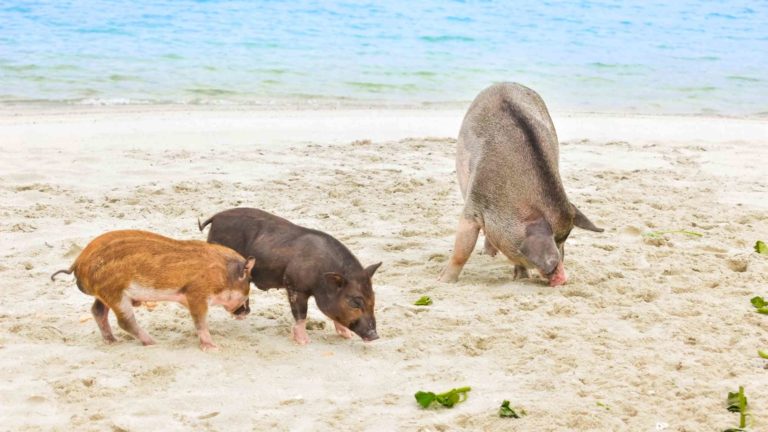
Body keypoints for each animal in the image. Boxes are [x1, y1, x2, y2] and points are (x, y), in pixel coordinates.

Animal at [50, 230, 255, 351]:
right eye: (249, 282)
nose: (247, 311)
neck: (222, 274)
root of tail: (78, 262)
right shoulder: (196, 293)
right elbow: (200, 322)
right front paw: (213, 348)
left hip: (104, 294)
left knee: (97, 311)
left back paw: (113, 342)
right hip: (115, 292)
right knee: (124, 321)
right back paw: (153, 343)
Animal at [198, 208, 381, 345]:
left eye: (373, 299)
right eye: (355, 302)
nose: (375, 336)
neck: (321, 274)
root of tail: (216, 216)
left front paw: (347, 336)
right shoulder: (295, 287)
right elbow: (300, 314)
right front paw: (304, 342)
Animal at [439, 83, 603, 286]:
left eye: (564, 240)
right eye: (555, 240)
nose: (563, 279)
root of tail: (503, 82)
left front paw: (522, 278)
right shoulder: (472, 206)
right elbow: (462, 250)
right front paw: (443, 281)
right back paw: (487, 254)